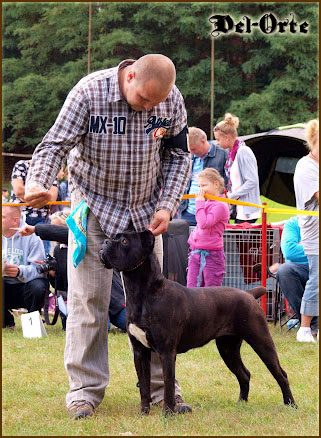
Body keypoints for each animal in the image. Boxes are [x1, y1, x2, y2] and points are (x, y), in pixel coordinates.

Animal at [99, 229, 296, 414]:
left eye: (124, 241)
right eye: (115, 237)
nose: (105, 242)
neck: (143, 294)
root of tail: (248, 294)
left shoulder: (166, 352)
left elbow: (168, 385)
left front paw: (168, 414)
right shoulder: (140, 352)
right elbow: (144, 386)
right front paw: (143, 413)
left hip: (261, 341)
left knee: (281, 374)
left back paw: (291, 405)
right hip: (228, 348)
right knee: (244, 374)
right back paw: (241, 403)